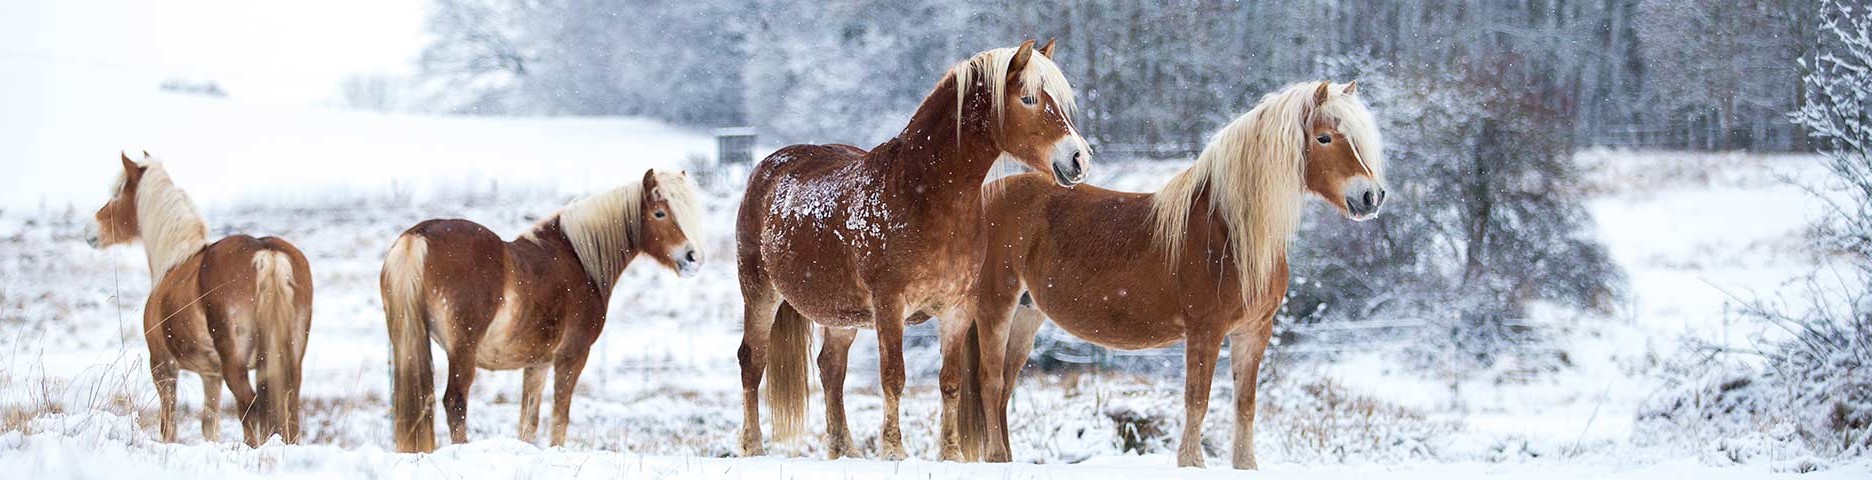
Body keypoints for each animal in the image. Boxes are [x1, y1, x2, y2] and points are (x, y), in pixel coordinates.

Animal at [85, 151, 314, 448]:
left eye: (117, 193)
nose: (90, 230)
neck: (175, 261)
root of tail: (265, 253)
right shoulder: (211, 376)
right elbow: (209, 425)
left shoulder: (163, 368)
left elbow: (168, 427)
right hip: (287, 362)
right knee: (289, 409)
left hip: (235, 365)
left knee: (249, 406)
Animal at [380, 169, 707, 453]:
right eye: (659, 213)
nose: (692, 258)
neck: (579, 260)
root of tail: (418, 236)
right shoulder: (571, 357)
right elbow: (560, 415)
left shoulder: (536, 364)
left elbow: (529, 422)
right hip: (462, 352)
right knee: (455, 402)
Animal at [726, 39, 1093, 459]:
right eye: (1030, 98)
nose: (1079, 158)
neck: (924, 196)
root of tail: (767, 168)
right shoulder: (890, 306)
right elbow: (893, 377)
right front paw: (894, 451)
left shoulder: (958, 308)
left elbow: (950, 381)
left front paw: (950, 453)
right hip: (759, 292)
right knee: (752, 362)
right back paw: (753, 446)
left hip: (841, 314)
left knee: (831, 368)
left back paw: (844, 449)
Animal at [965, 80, 1392, 466]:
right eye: (1324, 138)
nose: (1371, 196)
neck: (1231, 232)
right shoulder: (1206, 330)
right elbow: (1197, 399)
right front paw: (1192, 462)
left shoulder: (1254, 332)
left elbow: (1245, 405)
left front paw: (1245, 465)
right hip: (997, 307)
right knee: (990, 381)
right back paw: (997, 457)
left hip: (1026, 314)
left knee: (1004, 389)